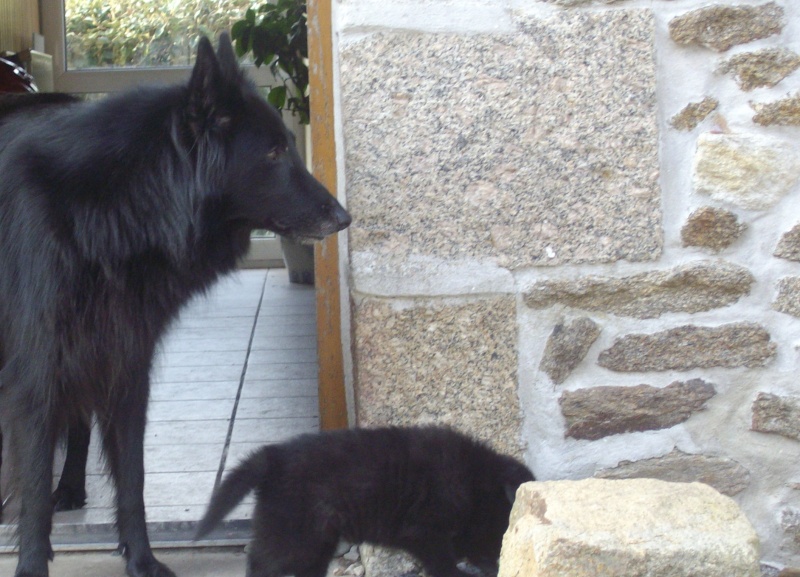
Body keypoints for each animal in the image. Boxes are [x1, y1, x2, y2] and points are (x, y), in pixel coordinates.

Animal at [0, 32, 350, 576]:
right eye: (273, 152)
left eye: (289, 146)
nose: (344, 217)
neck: (109, 209)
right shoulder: (36, 375)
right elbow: (34, 490)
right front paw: (33, 566)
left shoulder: (126, 363)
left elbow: (133, 478)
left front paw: (142, 560)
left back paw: (73, 488)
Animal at [195, 424, 536, 576]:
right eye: (506, 531)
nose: (501, 565)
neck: (473, 481)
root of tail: (274, 456)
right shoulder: (425, 533)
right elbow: (443, 564)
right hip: (294, 533)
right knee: (260, 560)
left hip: (318, 538)